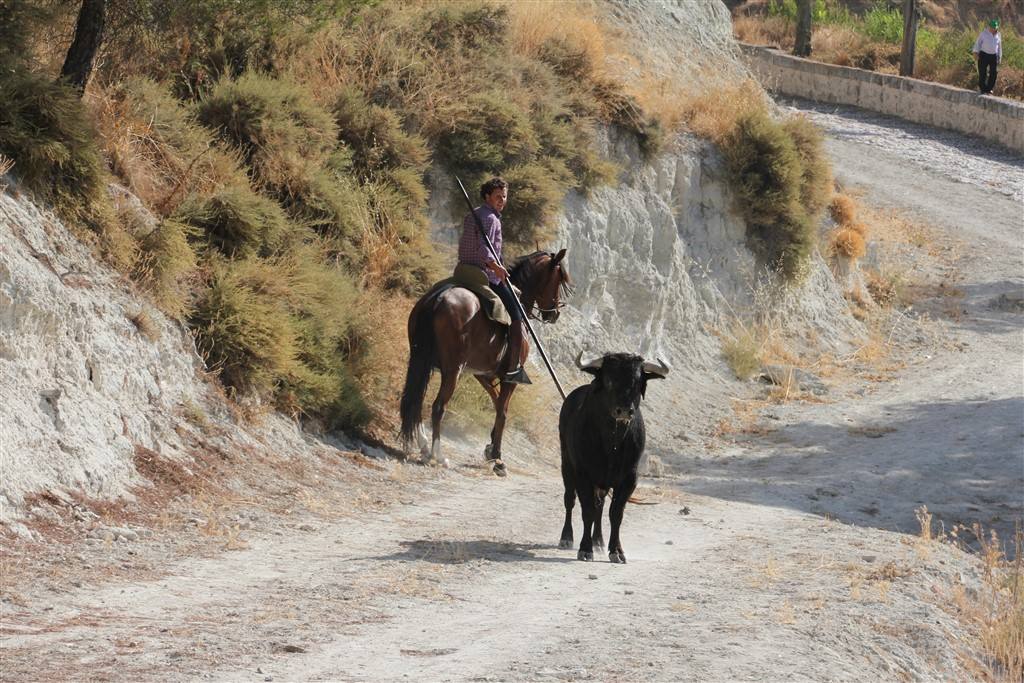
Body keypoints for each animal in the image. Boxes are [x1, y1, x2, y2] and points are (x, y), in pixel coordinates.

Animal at [399, 250, 573, 475]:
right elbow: (503, 412)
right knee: (438, 407)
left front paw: (490, 448)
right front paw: (498, 458)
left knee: (417, 399)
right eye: (558, 279)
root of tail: (438, 298)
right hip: (452, 370)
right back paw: (439, 455)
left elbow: (497, 402)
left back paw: (424, 447)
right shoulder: (510, 378)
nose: (555, 314)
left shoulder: (483, 373)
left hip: (421, 361)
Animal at [557, 350, 667, 565]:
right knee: (570, 500)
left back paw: (599, 541)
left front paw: (616, 551)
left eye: (638, 380)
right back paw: (566, 538)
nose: (624, 410)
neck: (612, 442)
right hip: (566, 464)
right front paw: (585, 549)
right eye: (609, 380)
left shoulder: (629, 479)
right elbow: (587, 511)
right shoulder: (583, 475)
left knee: (600, 506)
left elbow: (615, 513)